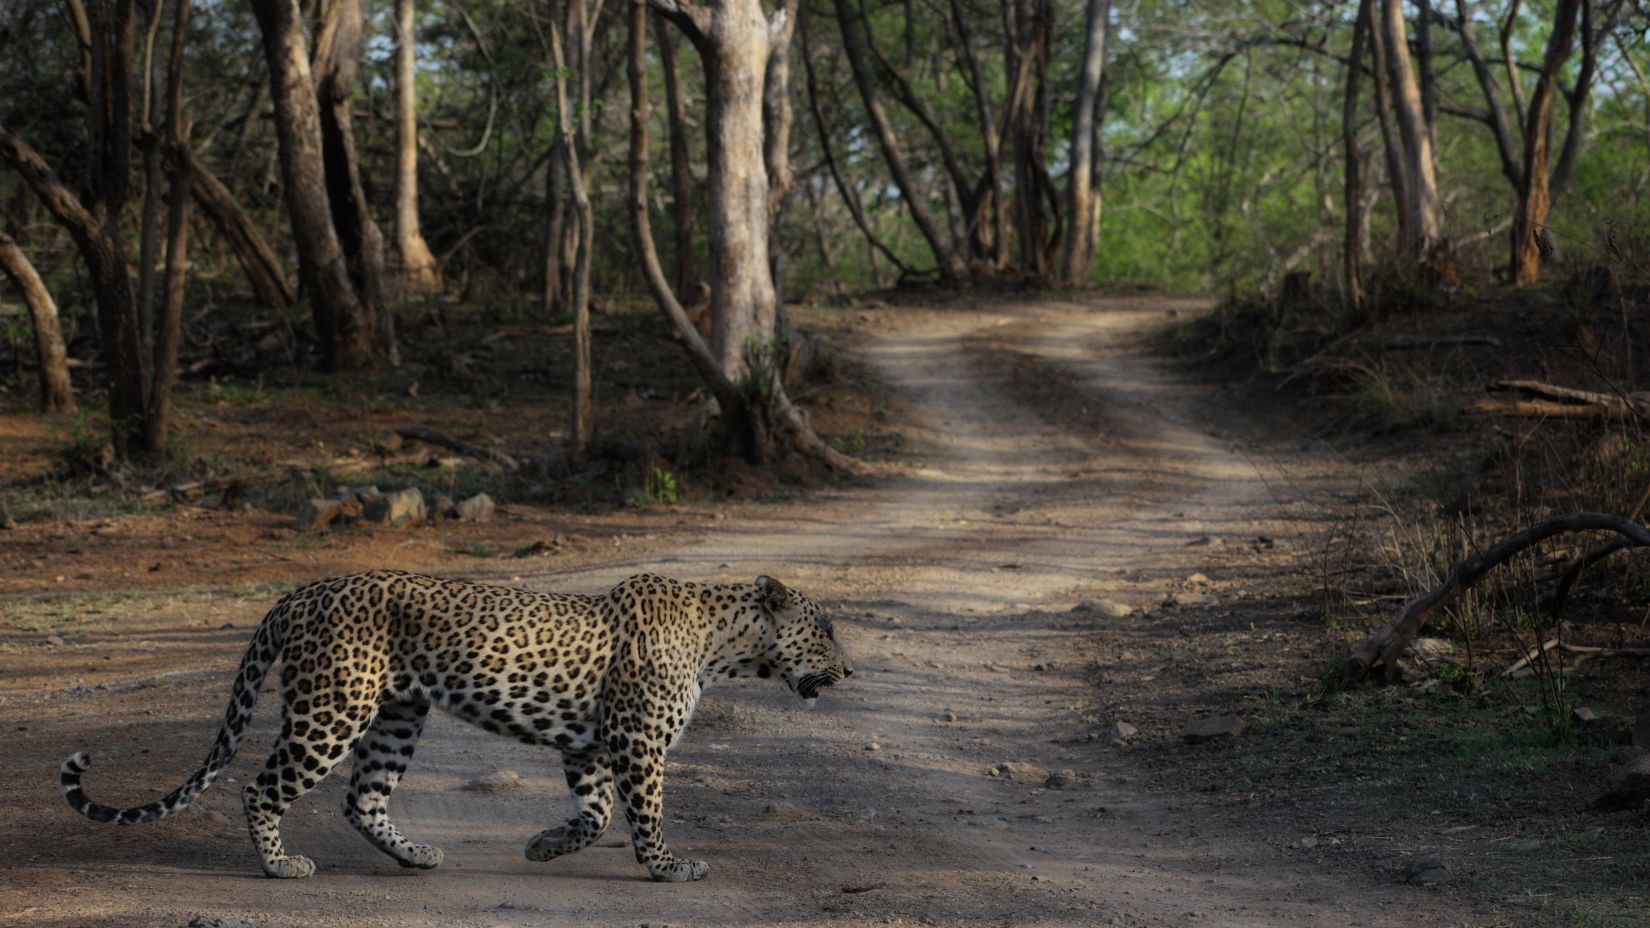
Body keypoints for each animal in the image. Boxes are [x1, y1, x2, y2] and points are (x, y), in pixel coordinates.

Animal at [61, 568, 851, 878]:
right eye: (825, 630)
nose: (849, 672)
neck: (725, 646)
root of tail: (302, 591)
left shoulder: (592, 746)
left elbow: (596, 814)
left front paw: (543, 846)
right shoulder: (635, 743)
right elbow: (645, 813)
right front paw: (667, 868)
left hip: (397, 715)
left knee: (363, 799)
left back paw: (416, 856)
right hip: (332, 709)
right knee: (262, 788)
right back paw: (280, 865)